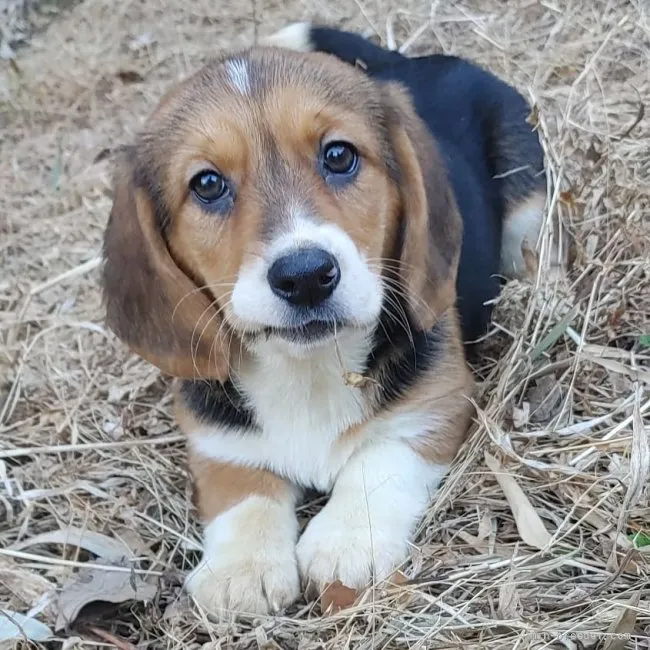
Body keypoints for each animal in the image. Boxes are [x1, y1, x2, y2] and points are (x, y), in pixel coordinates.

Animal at [102, 22, 548, 616]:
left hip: (529, 199)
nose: (306, 275)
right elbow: (241, 488)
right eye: (206, 185)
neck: (306, 369)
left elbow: (379, 457)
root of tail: (411, 61)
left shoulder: (439, 401)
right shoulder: (212, 436)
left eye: (339, 155)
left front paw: (347, 541)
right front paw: (240, 568)